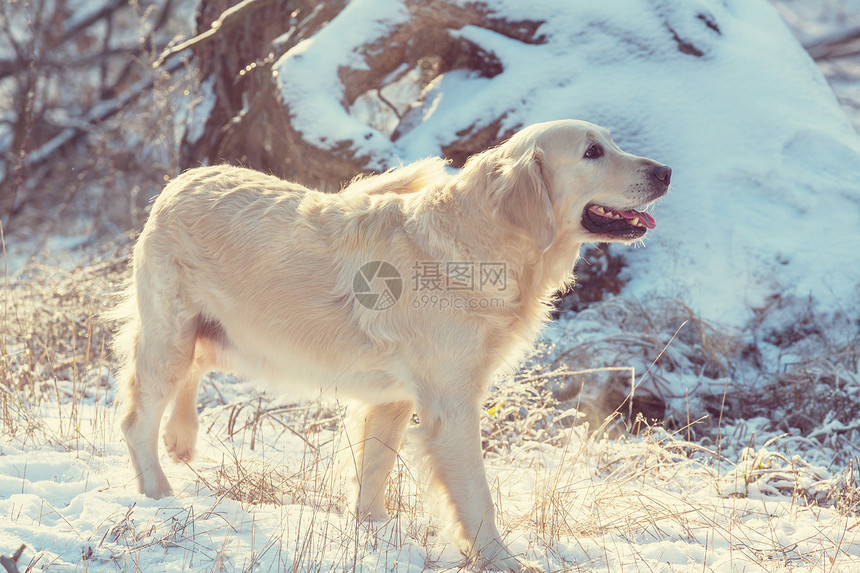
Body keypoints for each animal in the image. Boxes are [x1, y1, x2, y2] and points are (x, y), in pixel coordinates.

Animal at [111, 119, 668, 568]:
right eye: (593, 151)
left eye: (611, 142)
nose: (665, 171)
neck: (480, 246)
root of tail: (182, 179)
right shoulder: (451, 406)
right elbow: (476, 497)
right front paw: (500, 560)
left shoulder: (394, 399)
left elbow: (373, 470)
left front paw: (373, 531)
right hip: (171, 336)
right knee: (137, 418)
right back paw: (159, 493)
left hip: (216, 336)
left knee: (193, 372)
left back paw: (181, 439)